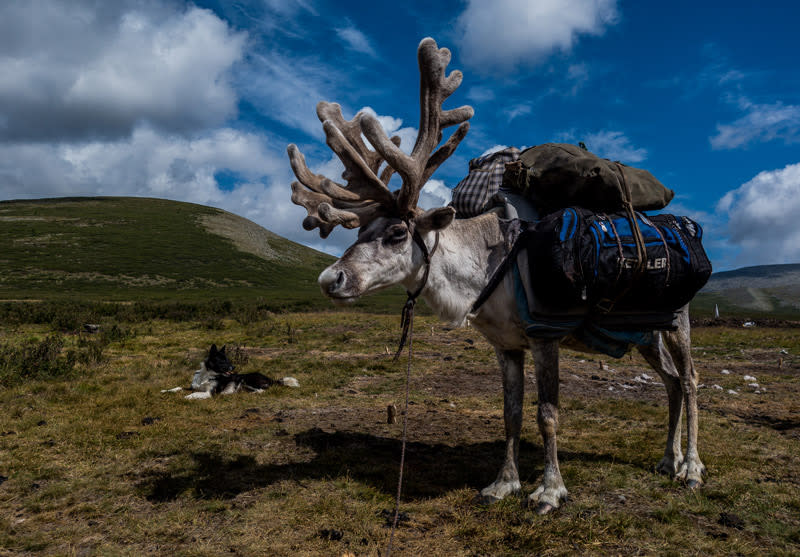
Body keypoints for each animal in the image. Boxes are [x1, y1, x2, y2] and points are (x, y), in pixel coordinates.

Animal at [161, 344, 298, 400]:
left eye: (228, 360)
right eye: (222, 361)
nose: (233, 367)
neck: (208, 374)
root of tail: (270, 378)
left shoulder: (209, 393)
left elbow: (195, 393)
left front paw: (188, 397)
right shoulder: (192, 386)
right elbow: (178, 387)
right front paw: (166, 390)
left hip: (246, 380)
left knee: (262, 391)